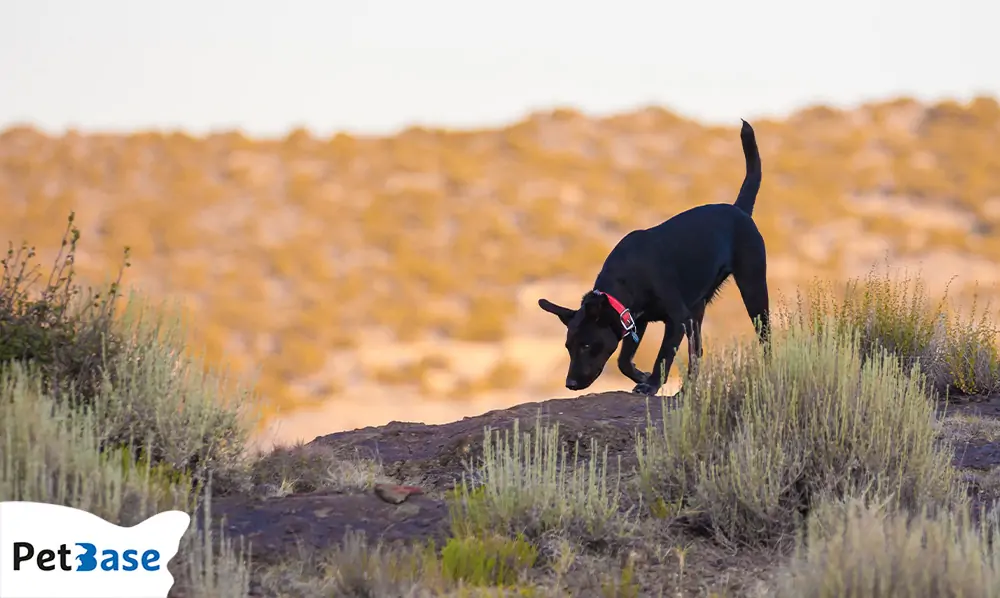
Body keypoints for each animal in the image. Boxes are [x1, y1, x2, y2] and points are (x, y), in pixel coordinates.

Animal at [540, 119, 764, 396]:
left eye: (586, 345)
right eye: (568, 347)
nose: (570, 384)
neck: (626, 277)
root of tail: (739, 210)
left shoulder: (677, 319)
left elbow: (664, 355)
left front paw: (652, 383)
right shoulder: (636, 321)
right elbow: (624, 361)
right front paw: (641, 375)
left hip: (752, 287)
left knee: (766, 337)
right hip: (698, 310)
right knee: (697, 352)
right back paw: (686, 391)